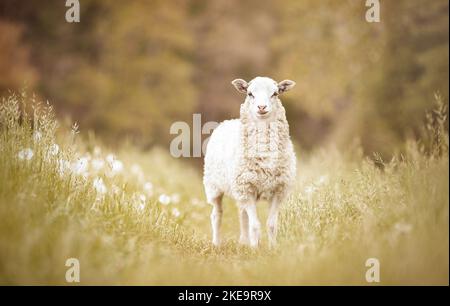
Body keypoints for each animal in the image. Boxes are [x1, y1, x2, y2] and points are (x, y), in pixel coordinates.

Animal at [203, 77, 296, 249]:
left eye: (275, 93)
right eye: (250, 93)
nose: (262, 107)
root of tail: (227, 121)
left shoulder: (278, 191)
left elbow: (271, 225)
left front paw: (272, 248)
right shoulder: (247, 189)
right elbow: (255, 225)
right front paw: (255, 250)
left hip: (240, 190)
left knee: (242, 215)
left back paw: (244, 242)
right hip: (214, 186)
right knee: (217, 214)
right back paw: (216, 243)